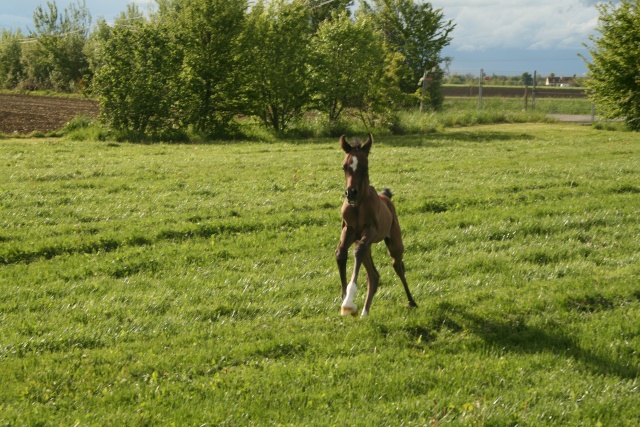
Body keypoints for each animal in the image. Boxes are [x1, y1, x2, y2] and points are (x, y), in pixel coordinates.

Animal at [336, 134, 420, 318]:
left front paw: (348, 303)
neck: (358, 206)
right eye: (344, 166)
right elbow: (340, 254)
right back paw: (364, 313)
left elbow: (357, 252)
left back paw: (412, 301)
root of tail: (386, 197)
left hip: (394, 242)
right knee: (373, 275)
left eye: (365, 166)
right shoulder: (349, 231)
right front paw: (345, 300)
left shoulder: (372, 232)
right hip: (364, 242)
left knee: (397, 265)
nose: (351, 193)